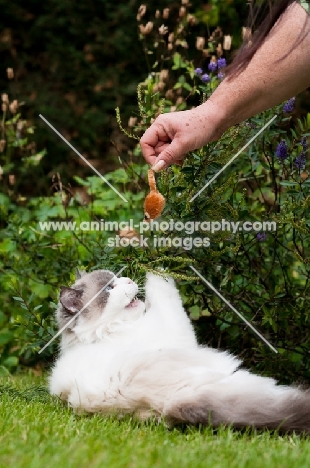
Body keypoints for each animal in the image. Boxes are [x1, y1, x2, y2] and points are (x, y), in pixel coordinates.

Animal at [49, 268, 310, 434]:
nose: (129, 280)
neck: (102, 334)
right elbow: (164, 290)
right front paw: (157, 260)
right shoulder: (175, 328)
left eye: (119, 278)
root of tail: (171, 403)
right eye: (109, 288)